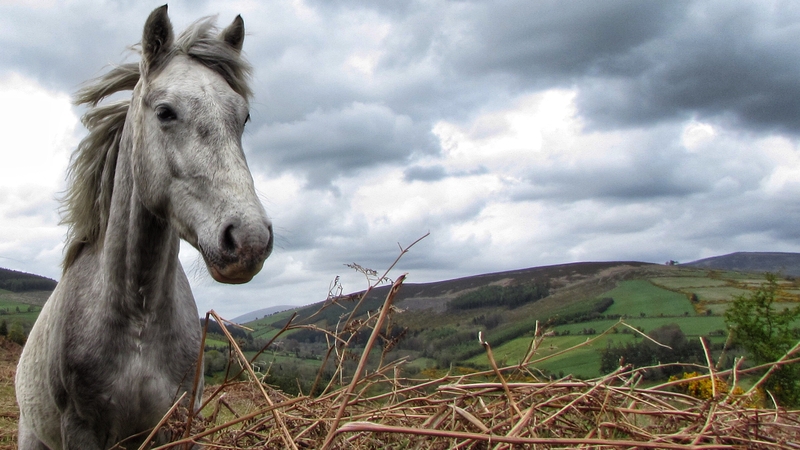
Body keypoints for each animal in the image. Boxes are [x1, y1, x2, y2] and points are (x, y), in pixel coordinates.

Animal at [15, 6, 273, 449]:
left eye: (243, 117)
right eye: (166, 112)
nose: (249, 240)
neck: (139, 319)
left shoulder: (174, 423)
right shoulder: (79, 429)